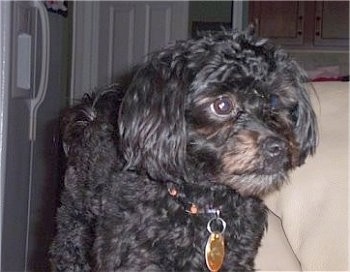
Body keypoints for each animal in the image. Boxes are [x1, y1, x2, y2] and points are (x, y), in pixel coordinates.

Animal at [51, 28, 318, 270]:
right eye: (222, 104)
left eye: (274, 99)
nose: (278, 147)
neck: (204, 207)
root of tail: (92, 113)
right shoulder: (135, 259)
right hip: (73, 233)